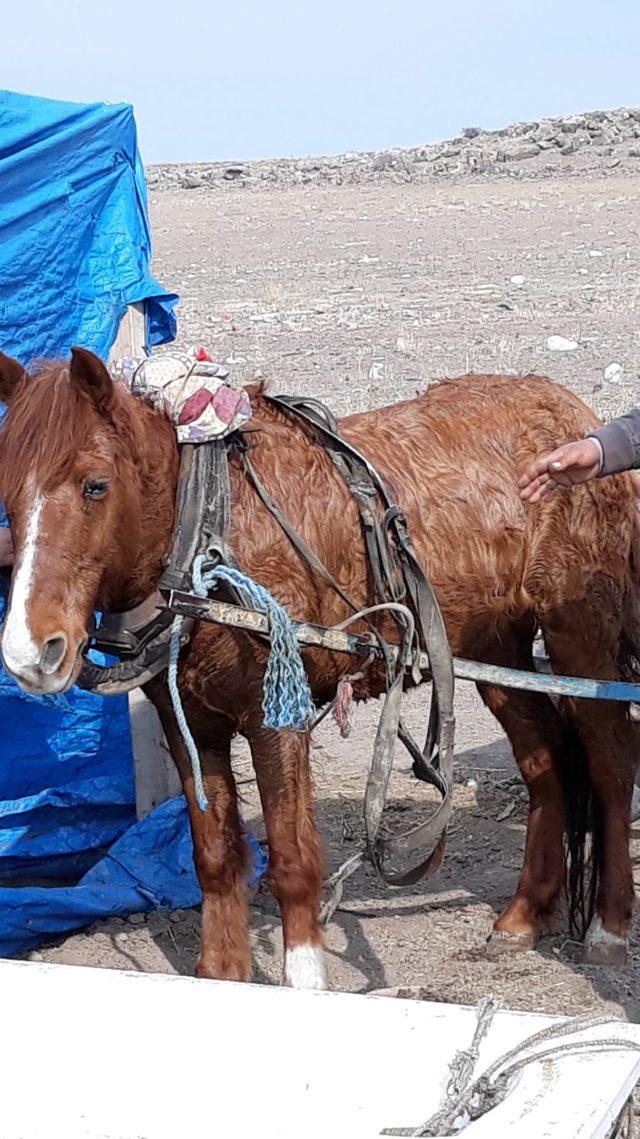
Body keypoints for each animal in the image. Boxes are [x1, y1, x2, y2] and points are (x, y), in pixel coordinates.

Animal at [1, 348, 637, 988]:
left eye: (95, 485)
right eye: (7, 496)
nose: (30, 653)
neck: (210, 542)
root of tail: (572, 412)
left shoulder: (275, 718)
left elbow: (291, 858)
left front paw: (304, 978)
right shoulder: (190, 725)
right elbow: (214, 855)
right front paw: (221, 971)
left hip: (579, 638)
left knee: (610, 762)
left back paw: (609, 926)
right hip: (492, 647)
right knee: (544, 761)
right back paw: (524, 914)